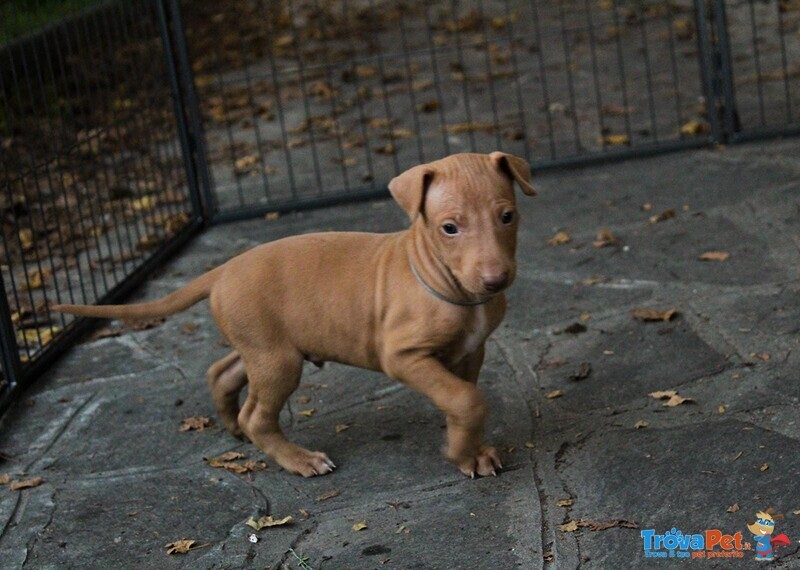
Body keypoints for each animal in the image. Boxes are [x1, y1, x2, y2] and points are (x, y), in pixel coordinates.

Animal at [53, 151, 536, 474]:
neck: (443, 280)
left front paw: (470, 450)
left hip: (263, 345)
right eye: (449, 228)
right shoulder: (402, 355)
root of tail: (222, 270)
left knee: (223, 373)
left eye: (508, 216)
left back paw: (234, 427)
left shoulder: (470, 351)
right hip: (278, 359)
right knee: (257, 414)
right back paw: (298, 459)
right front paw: (459, 451)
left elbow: (461, 398)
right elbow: (467, 399)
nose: (495, 280)